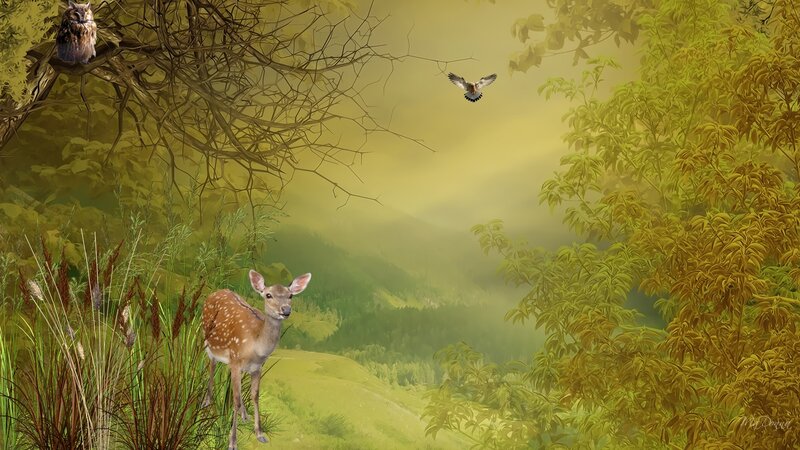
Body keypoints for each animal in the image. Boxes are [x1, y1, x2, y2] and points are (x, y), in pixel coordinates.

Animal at [202, 269, 312, 449]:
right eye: (268, 295)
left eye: (290, 295)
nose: (286, 310)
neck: (256, 345)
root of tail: (215, 292)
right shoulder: (235, 361)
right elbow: (236, 400)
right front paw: (232, 442)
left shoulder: (257, 367)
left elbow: (255, 396)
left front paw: (260, 434)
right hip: (207, 340)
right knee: (211, 365)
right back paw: (206, 401)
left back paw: (244, 415)